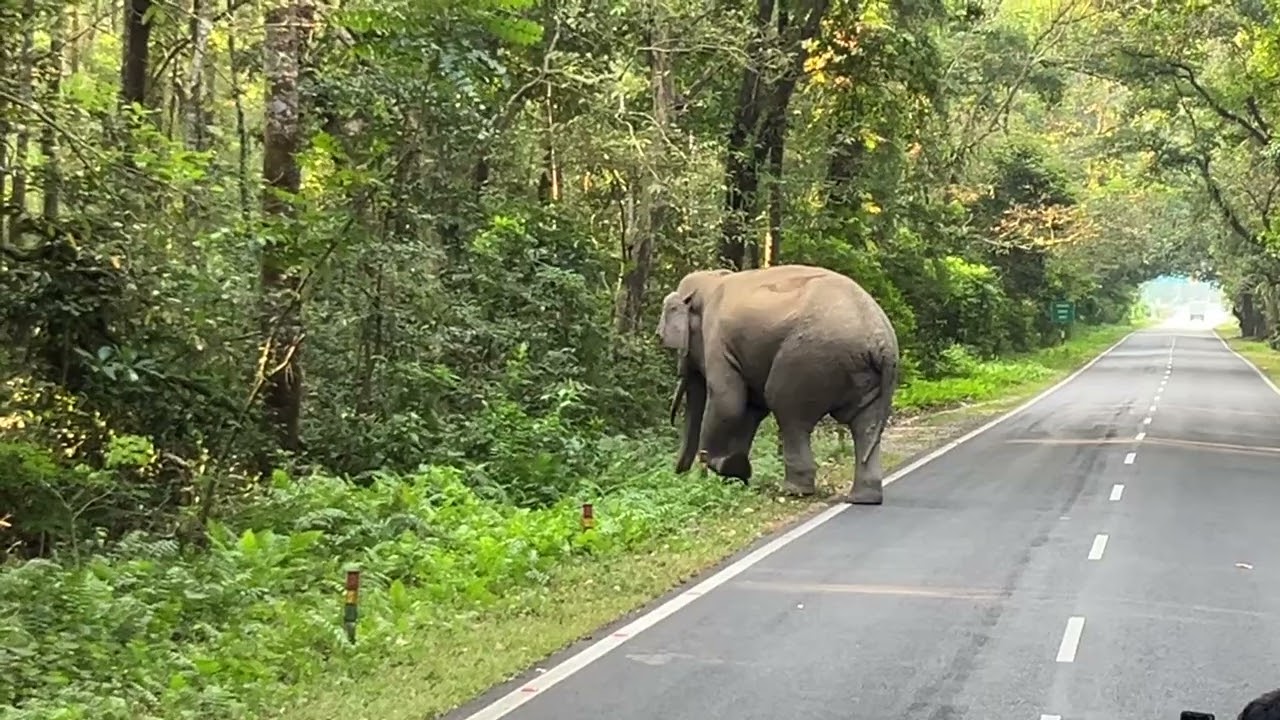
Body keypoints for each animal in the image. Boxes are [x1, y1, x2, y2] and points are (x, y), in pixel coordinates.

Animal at [657, 264, 900, 504]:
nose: (681, 477)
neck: (711, 279)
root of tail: (883, 343)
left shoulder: (717, 338)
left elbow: (728, 402)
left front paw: (722, 467)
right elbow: (752, 407)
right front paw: (734, 473)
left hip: (807, 360)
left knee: (789, 413)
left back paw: (795, 491)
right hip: (864, 375)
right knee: (865, 424)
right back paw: (863, 498)